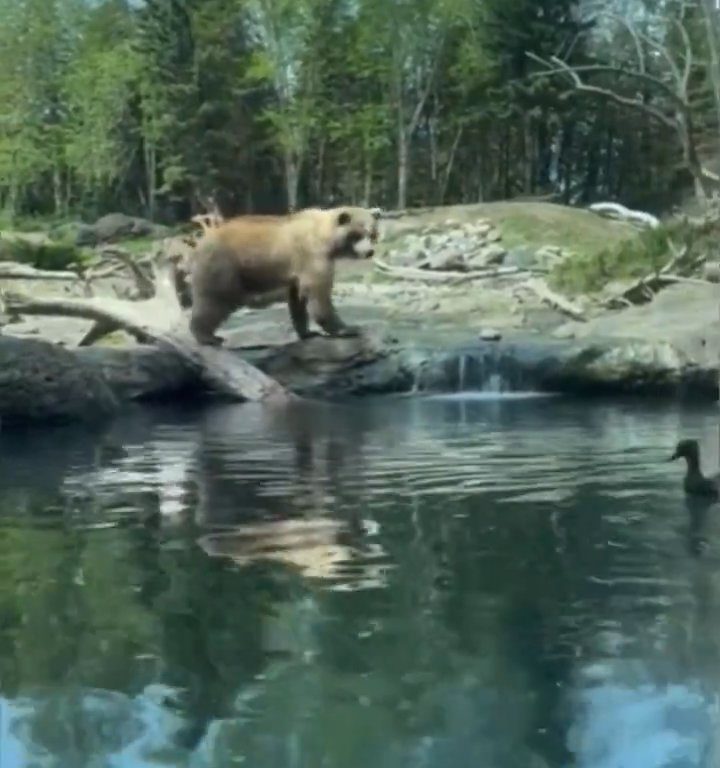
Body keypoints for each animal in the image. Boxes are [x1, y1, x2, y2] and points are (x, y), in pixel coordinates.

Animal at [187, 206, 382, 346]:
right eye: (357, 234)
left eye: (373, 233)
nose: (370, 252)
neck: (325, 238)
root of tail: (200, 243)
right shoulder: (312, 256)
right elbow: (318, 293)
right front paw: (348, 328)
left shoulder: (297, 271)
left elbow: (298, 299)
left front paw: (308, 332)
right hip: (225, 265)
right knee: (215, 299)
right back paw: (208, 337)